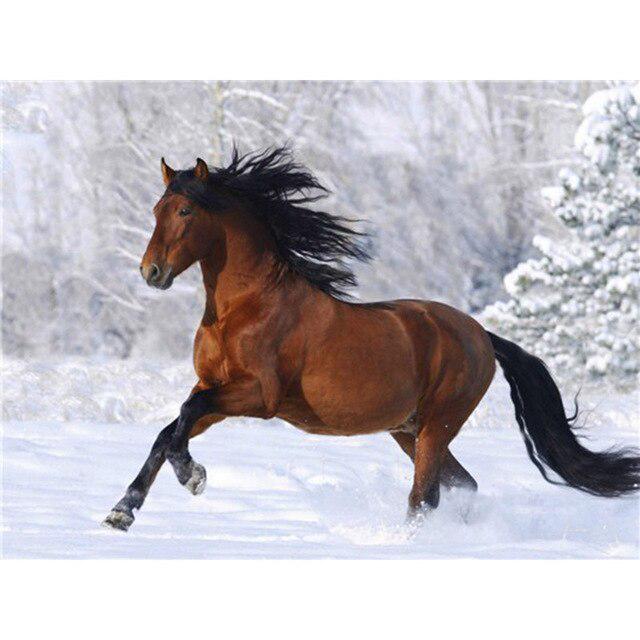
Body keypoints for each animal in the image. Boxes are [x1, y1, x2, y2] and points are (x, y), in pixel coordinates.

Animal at [104, 147, 640, 532]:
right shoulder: (213, 389)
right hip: (408, 429)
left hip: (437, 425)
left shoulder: (258, 396)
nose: (151, 272)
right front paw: (122, 511)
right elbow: (169, 430)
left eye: (186, 211)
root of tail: (483, 336)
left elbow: (182, 418)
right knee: (461, 484)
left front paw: (193, 477)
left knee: (425, 495)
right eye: (156, 208)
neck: (245, 308)